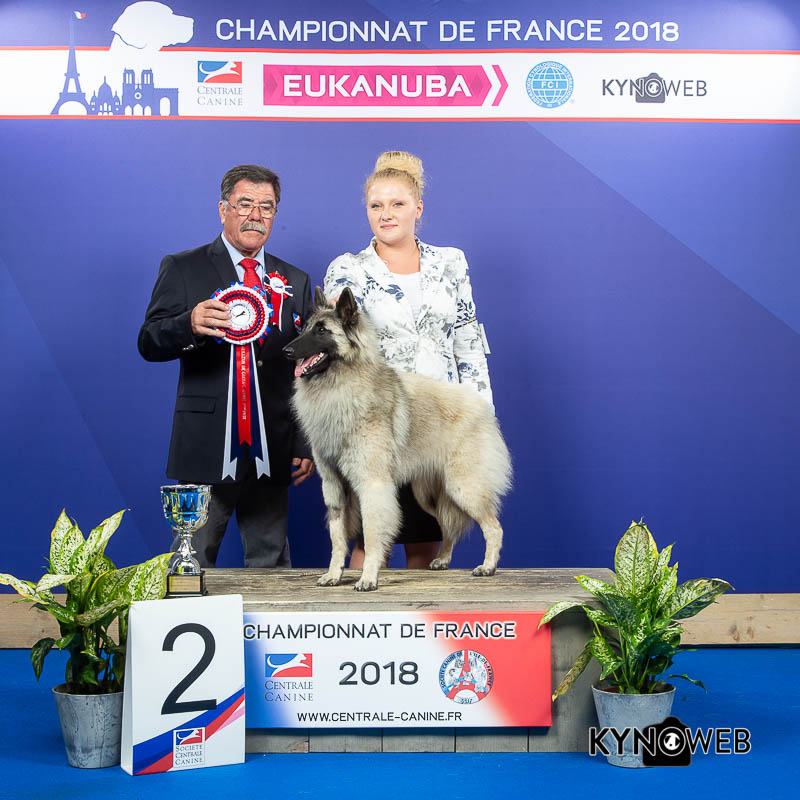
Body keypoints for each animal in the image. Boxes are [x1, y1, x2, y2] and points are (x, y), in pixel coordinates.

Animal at [283, 288, 512, 591]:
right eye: (305, 328)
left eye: (322, 331)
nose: (286, 351)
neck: (340, 385)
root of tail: (482, 408)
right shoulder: (334, 488)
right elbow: (337, 538)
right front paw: (334, 575)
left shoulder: (373, 486)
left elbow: (371, 535)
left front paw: (368, 578)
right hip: (429, 495)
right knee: (448, 526)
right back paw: (442, 559)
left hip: (464, 488)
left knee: (493, 527)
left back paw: (487, 567)